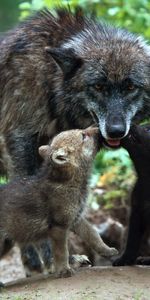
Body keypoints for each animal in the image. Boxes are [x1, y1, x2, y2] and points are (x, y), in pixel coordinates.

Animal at [0, 8, 150, 274]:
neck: (49, 79)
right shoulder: (20, 145)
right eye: (98, 86)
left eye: (130, 86)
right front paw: (55, 261)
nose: (115, 131)